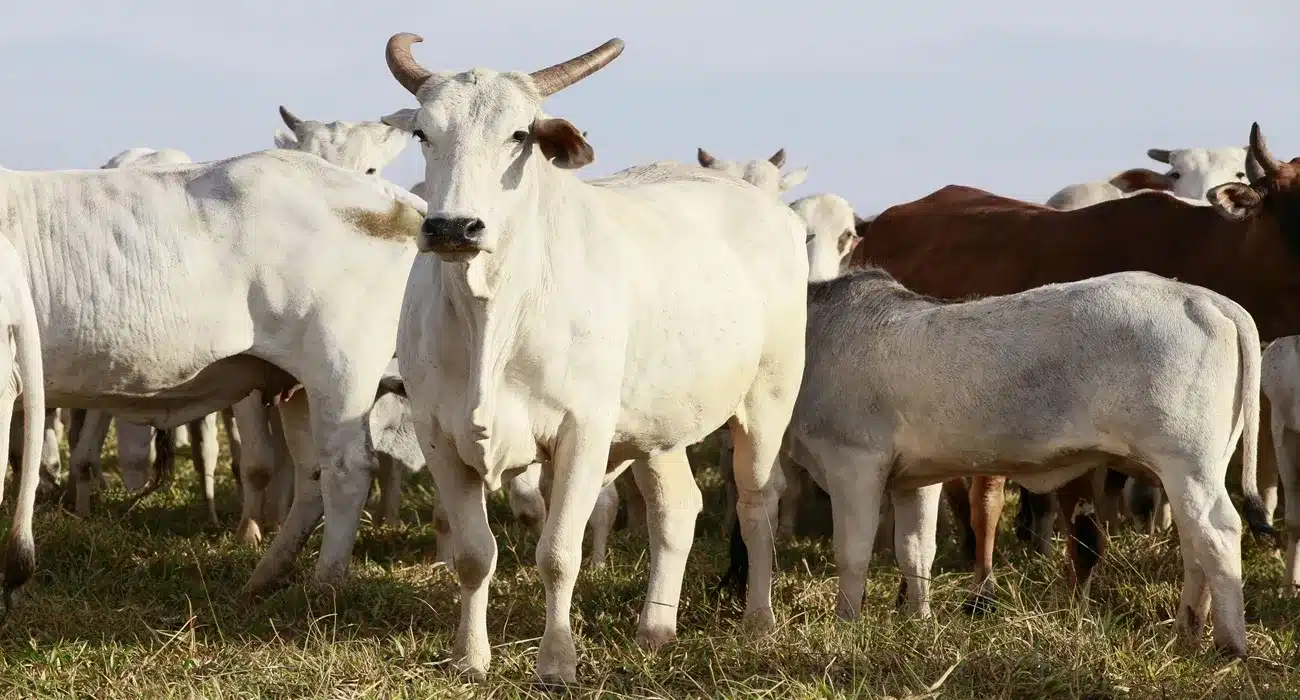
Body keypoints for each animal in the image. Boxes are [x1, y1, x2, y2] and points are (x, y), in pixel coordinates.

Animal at [381, 33, 808, 683]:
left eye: (518, 134)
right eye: (425, 133)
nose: (453, 227)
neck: (492, 311)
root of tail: (768, 208)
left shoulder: (582, 431)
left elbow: (559, 553)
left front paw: (557, 662)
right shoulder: (440, 437)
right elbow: (475, 555)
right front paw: (470, 658)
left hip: (767, 401)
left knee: (759, 498)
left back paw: (757, 619)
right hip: (659, 427)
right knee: (677, 509)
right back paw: (655, 628)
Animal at [780, 266, 1262, 657]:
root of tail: (1204, 298)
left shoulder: (852, 461)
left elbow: (852, 552)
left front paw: (846, 627)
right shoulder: (915, 478)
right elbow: (916, 551)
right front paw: (920, 621)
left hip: (1188, 464)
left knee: (1218, 533)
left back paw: (1228, 645)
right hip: (1191, 472)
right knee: (1194, 542)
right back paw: (1187, 632)